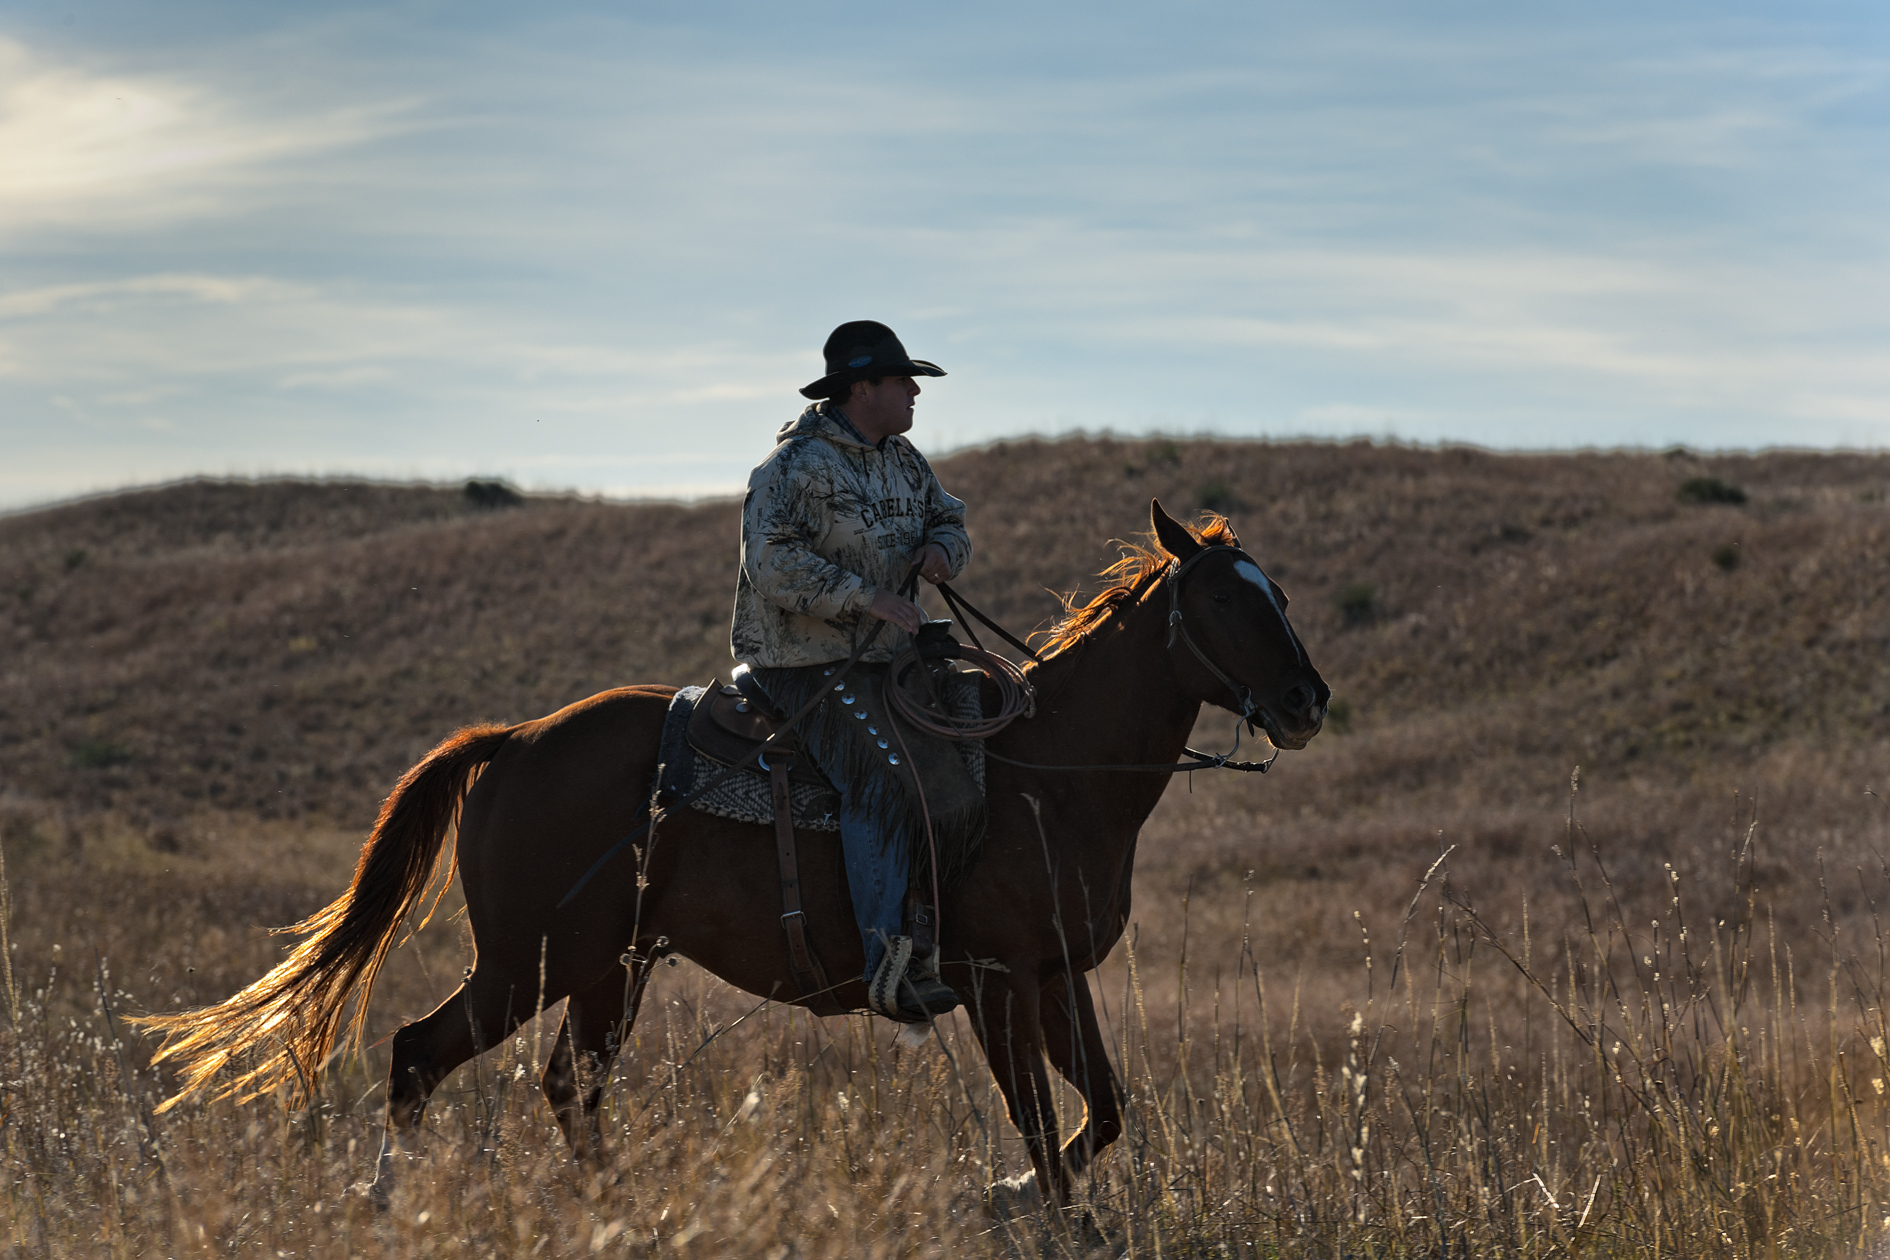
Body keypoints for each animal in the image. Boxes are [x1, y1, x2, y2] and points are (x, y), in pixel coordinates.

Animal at [135, 498, 1329, 1207]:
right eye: (1226, 601)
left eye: (1278, 593)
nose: (1308, 702)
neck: (1042, 775)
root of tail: (512, 741)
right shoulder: (993, 980)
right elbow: (1042, 1129)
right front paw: (1019, 1202)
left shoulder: (1053, 976)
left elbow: (1104, 1113)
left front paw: (1006, 1199)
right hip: (532, 961)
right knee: (420, 1055)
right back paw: (393, 1206)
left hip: (606, 969)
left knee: (566, 1088)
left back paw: (615, 1212)